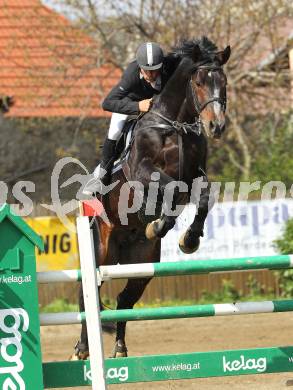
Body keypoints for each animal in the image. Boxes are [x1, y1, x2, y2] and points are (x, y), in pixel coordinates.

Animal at [72, 36, 228, 360]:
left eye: (224, 82)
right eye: (198, 81)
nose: (217, 126)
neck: (173, 124)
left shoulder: (195, 176)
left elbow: (203, 199)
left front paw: (188, 240)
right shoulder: (143, 172)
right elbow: (168, 190)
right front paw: (157, 225)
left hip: (142, 265)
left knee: (124, 300)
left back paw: (120, 349)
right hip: (100, 252)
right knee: (87, 294)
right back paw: (81, 349)